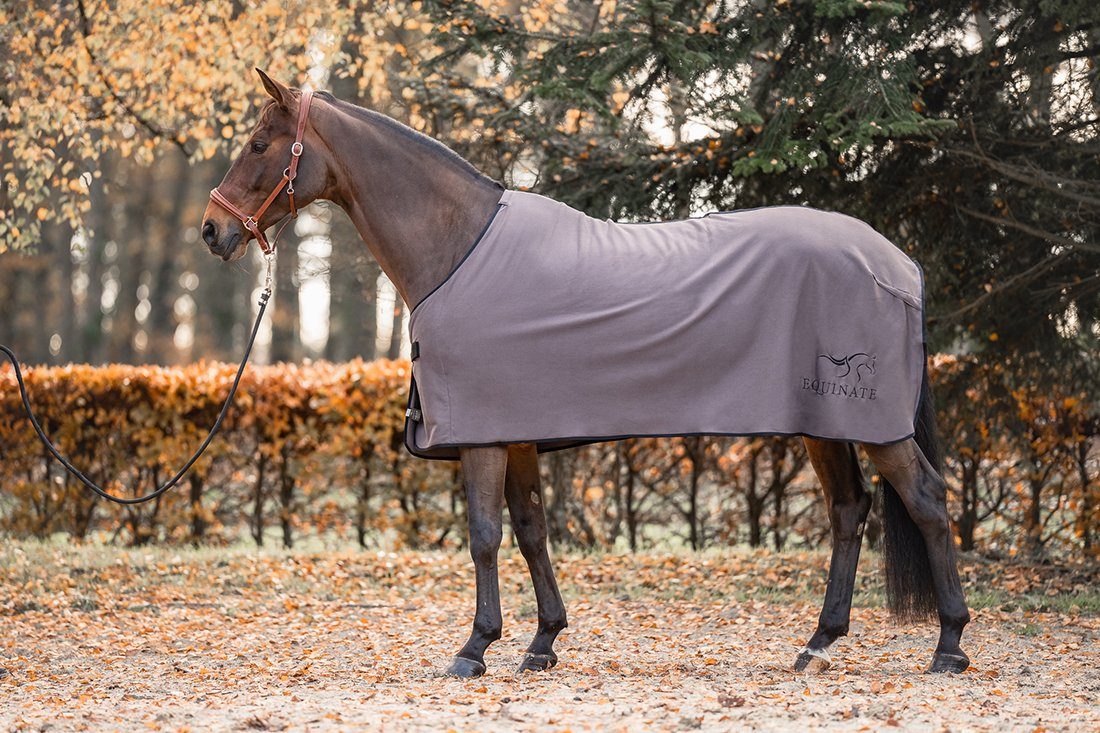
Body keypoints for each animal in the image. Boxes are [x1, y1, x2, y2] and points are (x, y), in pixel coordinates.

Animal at [201, 70, 970, 678]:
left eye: (259, 144)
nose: (213, 230)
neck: (458, 247)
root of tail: (899, 264)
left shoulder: (483, 435)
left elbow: (485, 534)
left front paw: (474, 648)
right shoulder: (517, 434)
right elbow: (531, 528)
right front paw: (541, 642)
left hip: (873, 426)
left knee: (927, 501)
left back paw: (950, 646)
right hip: (824, 423)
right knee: (849, 510)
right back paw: (818, 643)